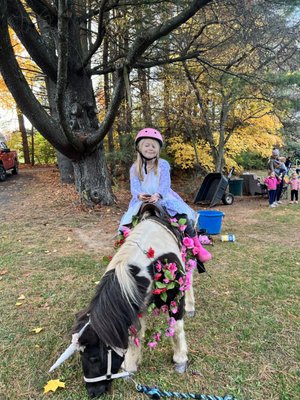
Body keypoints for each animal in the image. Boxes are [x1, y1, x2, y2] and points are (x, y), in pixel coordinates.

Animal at [49, 211, 196, 398]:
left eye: (94, 358)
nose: (92, 392)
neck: (147, 266)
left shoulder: (175, 298)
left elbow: (176, 329)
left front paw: (180, 360)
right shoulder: (134, 308)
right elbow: (134, 337)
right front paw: (130, 368)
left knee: (190, 280)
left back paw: (191, 307)